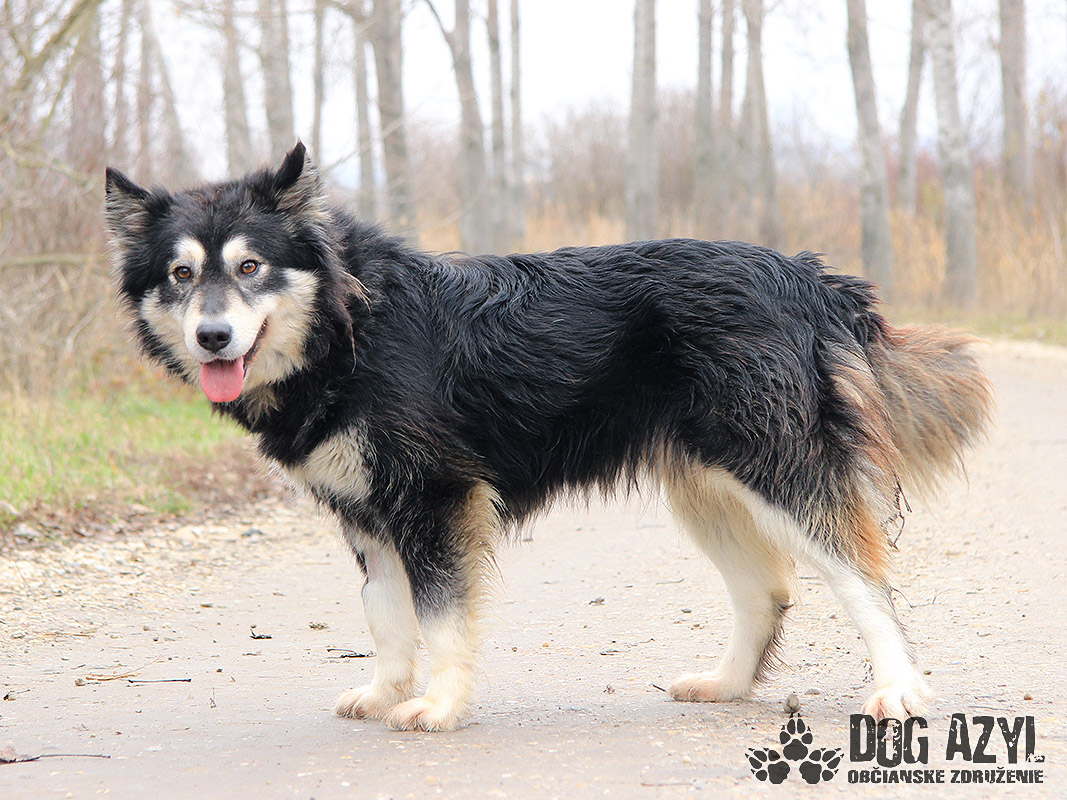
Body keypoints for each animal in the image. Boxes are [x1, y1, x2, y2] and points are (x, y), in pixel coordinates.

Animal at [105, 143, 993, 732]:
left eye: (250, 268)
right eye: (181, 276)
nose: (213, 338)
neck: (348, 326)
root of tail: (805, 274)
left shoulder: (436, 498)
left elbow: (439, 616)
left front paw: (436, 704)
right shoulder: (365, 513)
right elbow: (385, 616)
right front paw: (389, 691)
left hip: (774, 467)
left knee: (861, 577)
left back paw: (898, 690)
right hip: (706, 486)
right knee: (764, 589)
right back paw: (725, 684)